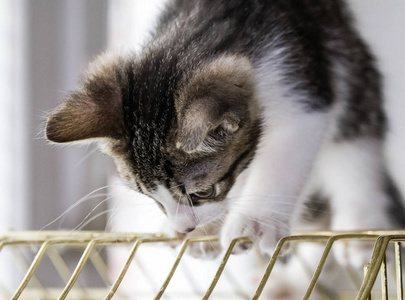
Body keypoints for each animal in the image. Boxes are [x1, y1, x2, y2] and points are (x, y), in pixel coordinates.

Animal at [45, 0, 402, 264]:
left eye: (202, 192)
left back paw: (360, 226)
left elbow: (288, 153)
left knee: (355, 144)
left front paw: (258, 221)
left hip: (348, 64)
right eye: (147, 196)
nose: (186, 226)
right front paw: (205, 229)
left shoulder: (301, 85)